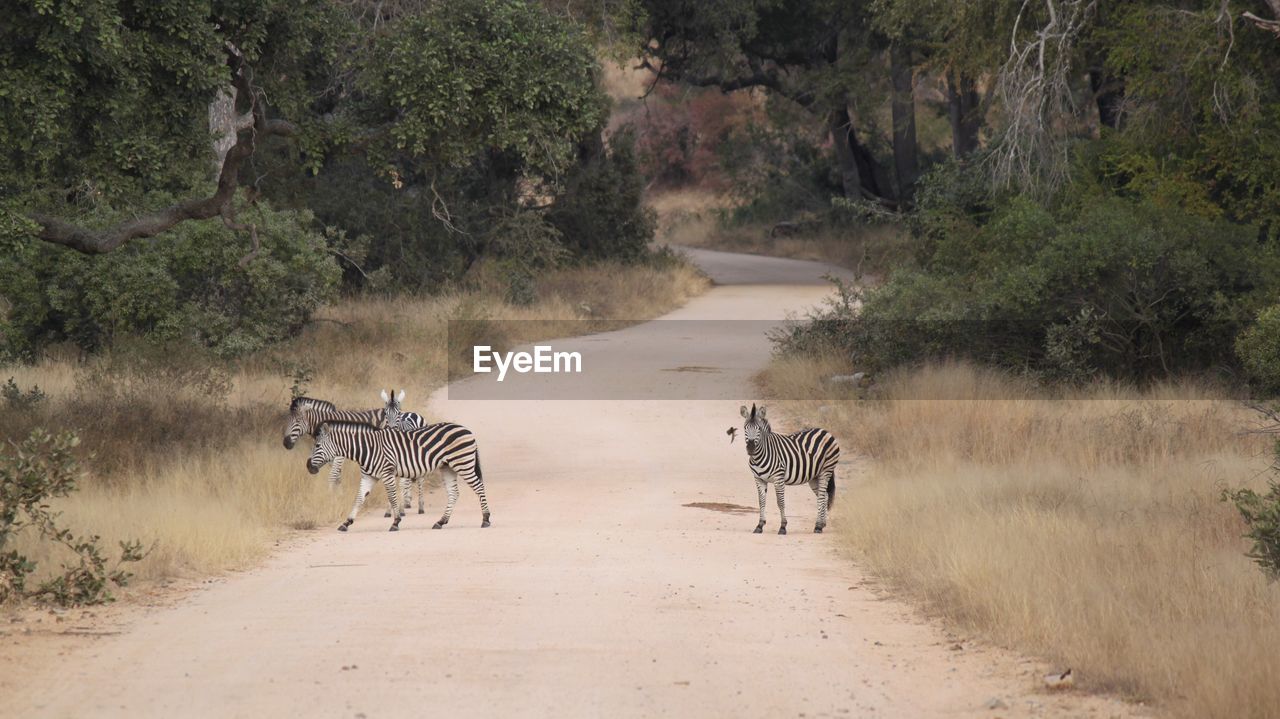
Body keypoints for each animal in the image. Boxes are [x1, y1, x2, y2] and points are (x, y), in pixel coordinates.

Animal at [282, 394, 427, 511]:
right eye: (287, 420)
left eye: (298, 421)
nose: (286, 443)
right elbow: (337, 476)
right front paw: (339, 495)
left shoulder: (339, 454)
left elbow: (333, 475)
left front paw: (330, 497)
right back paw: (407, 501)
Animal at [304, 417, 488, 529]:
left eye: (318, 446)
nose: (308, 467)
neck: (367, 449)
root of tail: (467, 430)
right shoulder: (368, 476)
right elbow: (359, 498)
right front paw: (346, 523)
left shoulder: (387, 472)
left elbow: (392, 497)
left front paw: (396, 522)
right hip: (447, 467)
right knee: (454, 493)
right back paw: (441, 521)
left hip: (463, 463)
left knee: (479, 487)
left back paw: (485, 519)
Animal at [742, 404, 839, 532]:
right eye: (745, 428)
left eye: (759, 429)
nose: (751, 448)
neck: (759, 456)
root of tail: (825, 431)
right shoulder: (759, 479)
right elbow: (761, 501)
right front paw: (760, 525)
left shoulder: (778, 478)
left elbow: (780, 502)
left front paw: (783, 526)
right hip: (814, 476)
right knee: (824, 496)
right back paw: (821, 524)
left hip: (826, 470)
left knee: (822, 496)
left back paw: (818, 526)